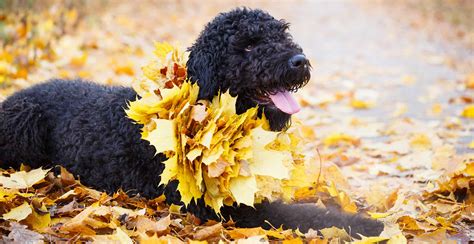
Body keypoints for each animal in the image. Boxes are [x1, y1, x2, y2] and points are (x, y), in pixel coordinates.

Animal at [0, 8, 384, 237]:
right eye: (248, 45)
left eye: (282, 34)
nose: (299, 61)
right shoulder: (227, 208)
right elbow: (307, 215)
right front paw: (367, 225)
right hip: (25, 122)